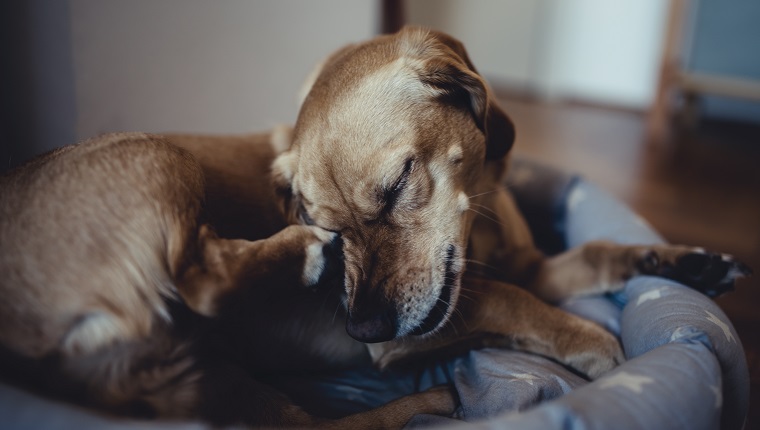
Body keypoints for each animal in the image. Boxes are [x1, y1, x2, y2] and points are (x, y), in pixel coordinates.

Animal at [0, 26, 752, 426]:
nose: (359, 326)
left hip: (224, 382)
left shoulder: (535, 265)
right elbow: (518, 303)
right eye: (323, 220)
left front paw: (683, 262)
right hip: (157, 154)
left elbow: (596, 250)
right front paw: (596, 345)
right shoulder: (421, 330)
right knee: (198, 279)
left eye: (394, 189)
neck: (478, 224)